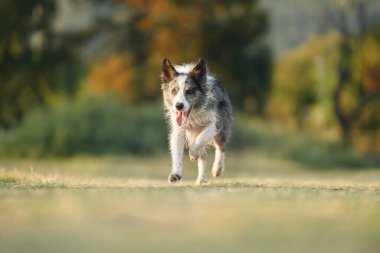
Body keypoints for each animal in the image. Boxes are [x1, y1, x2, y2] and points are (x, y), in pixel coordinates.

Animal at [160, 57, 232, 185]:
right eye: (173, 91)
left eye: (189, 91)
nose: (179, 106)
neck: (193, 114)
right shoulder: (179, 130)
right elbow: (177, 151)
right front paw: (176, 174)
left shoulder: (214, 123)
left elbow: (201, 138)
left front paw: (193, 154)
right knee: (203, 156)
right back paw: (201, 178)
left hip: (223, 126)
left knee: (220, 146)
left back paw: (217, 169)